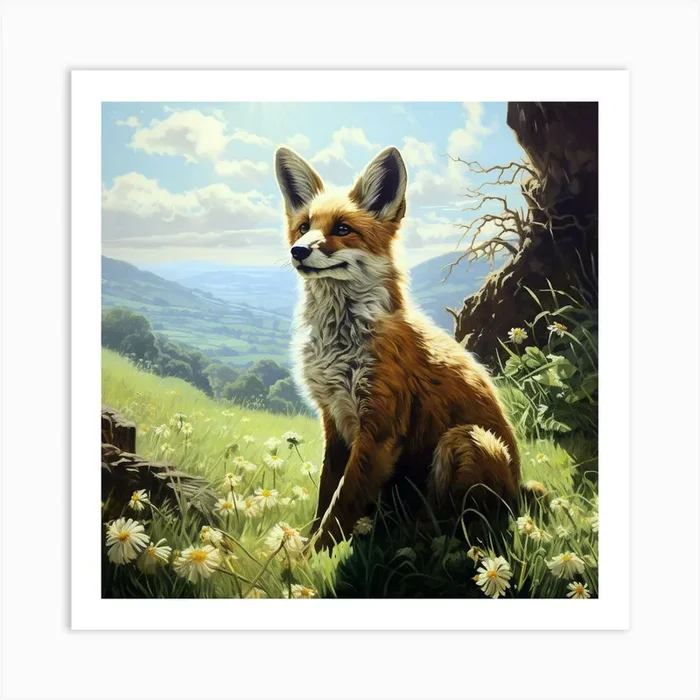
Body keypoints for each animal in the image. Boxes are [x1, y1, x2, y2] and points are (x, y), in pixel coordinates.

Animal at [274, 145, 520, 550]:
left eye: (342, 229)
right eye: (304, 227)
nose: (298, 251)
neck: (339, 343)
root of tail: (521, 491)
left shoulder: (380, 428)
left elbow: (342, 504)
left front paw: (310, 556)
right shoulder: (334, 420)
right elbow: (326, 494)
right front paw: (303, 548)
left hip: (463, 440)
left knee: (458, 524)